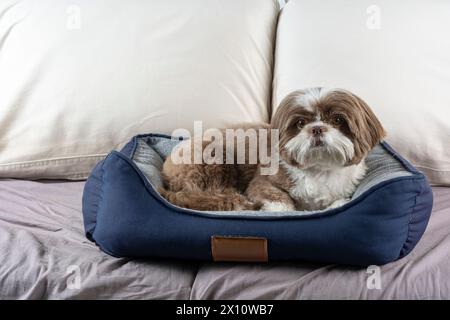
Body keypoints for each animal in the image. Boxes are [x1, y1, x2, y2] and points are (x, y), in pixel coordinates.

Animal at [160, 88, 384, 212]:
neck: (319, 168)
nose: (317, 128)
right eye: (300, 123)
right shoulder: (262, 183)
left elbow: (339, 201)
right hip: (213, 158)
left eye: (337, 120)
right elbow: (282, 202)